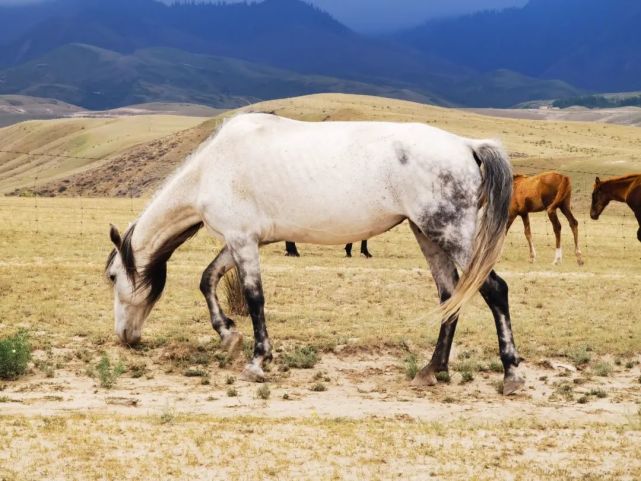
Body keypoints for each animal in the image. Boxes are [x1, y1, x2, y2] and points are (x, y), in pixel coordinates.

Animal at [106, 112, 524, 394]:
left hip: (451, 234)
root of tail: (467, 146)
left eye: (112, 277)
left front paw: (258, 360)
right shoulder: (242, 241)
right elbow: (208, 278)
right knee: (449, 296)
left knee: (494, 289)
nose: (125, 336)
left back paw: (511, 374)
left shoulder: (242, 242)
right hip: (427, 234)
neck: (213, 167)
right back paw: (432, 369)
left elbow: (254, 298)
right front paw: (227, 335)